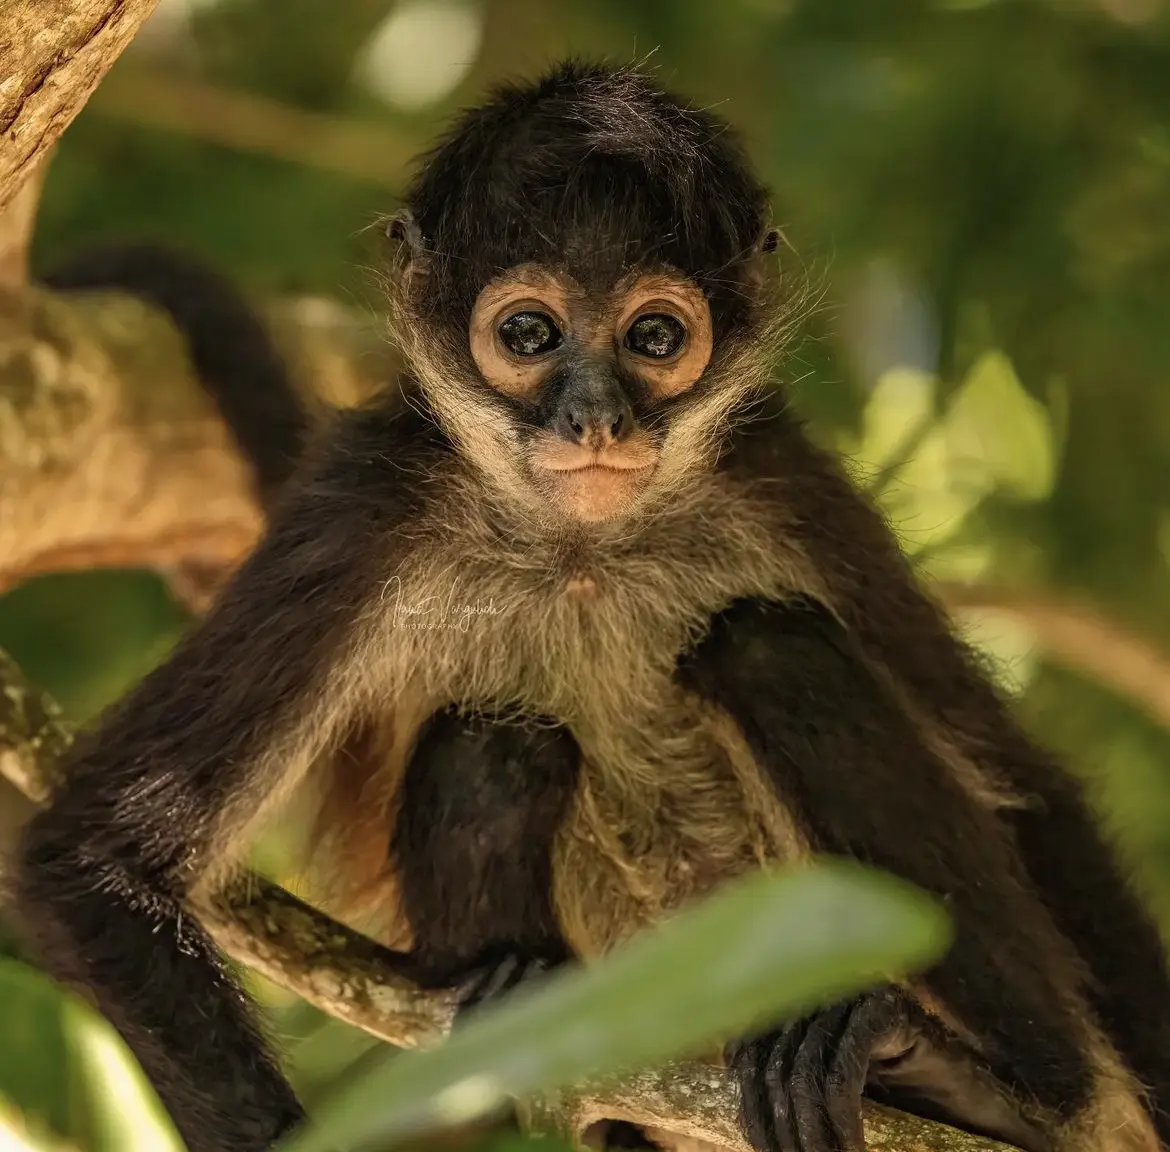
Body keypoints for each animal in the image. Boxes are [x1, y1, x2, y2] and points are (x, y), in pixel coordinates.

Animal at [11, 59, 1170, 1152]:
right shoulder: (364, 507)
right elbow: (91, 861)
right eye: (530, 333)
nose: (596, 417)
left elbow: (1019, 782)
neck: (581, 549)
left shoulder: (776, 472)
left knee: (772, 649)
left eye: (654, 338)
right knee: (497, 737)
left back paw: (1007, 1093)